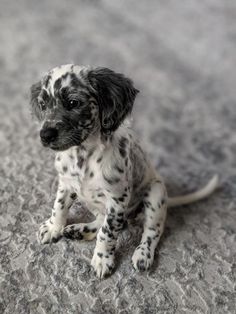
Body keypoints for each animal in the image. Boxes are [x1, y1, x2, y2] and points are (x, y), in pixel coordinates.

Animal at [30, 64, 219, 278]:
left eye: (73, 102)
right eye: (43, 105)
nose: (45, 135)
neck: (84, 156)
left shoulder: (117, 199)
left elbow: (107, 233)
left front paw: (103, 259)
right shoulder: (66, 184)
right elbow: (59, 207)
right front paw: (53, 228)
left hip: (156, 195)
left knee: (152, 231)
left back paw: (143, 254)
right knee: (103, 220)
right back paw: (79, 230)